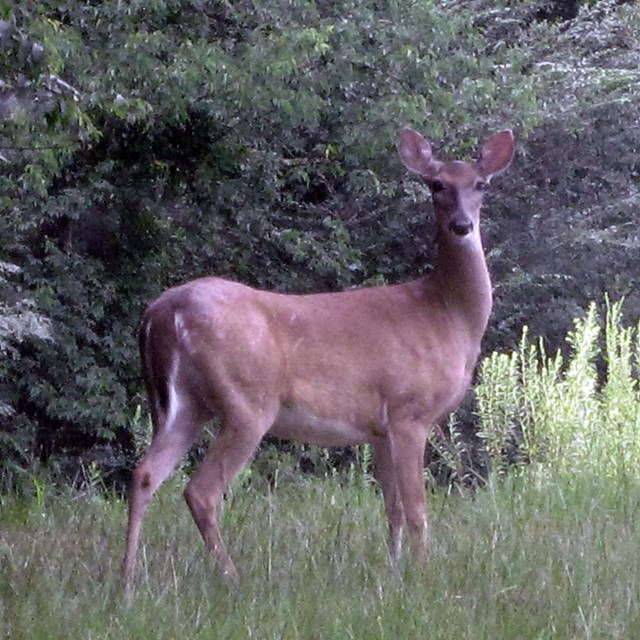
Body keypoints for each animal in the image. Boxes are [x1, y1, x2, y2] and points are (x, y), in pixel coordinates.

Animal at [121, 125, 516, 596]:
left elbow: (393, 509)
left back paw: (124, 579)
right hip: (247, 402)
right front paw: (424, 578)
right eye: (437, 185)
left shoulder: (379, 428)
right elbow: (417, 509)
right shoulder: (409, 410)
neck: (446, 314)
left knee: (144, 474)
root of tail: (161, 312)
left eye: (481, 184)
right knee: (201, 491)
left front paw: (395, 574)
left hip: (180, 406)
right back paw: (234, 579)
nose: (461, 225)